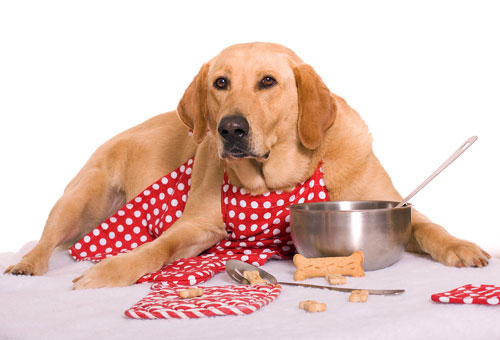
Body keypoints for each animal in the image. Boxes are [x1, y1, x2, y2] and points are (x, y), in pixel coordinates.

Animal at [4, 41, 488, 288]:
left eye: (268, 82)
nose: (231, 129)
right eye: (220, 83)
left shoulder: (390, 201)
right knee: (45, 241)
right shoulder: (197, 227)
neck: (274, 184)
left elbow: (427, 226)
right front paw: (113, 269)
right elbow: (157, 248)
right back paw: (28, 263)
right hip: (80, 199)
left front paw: (461, 246)